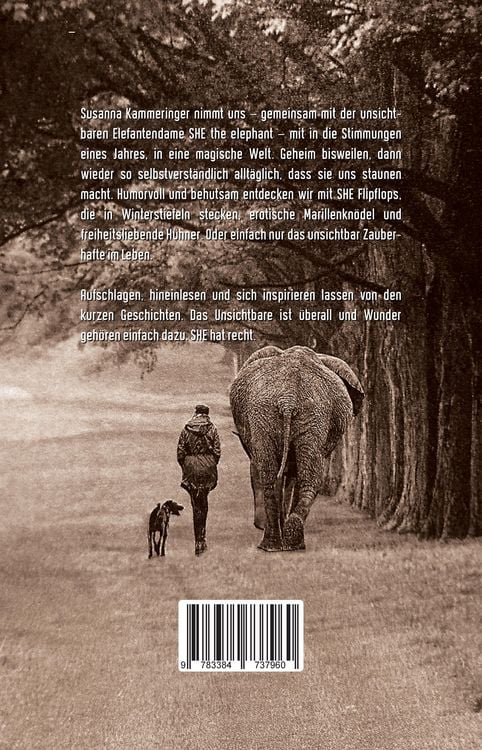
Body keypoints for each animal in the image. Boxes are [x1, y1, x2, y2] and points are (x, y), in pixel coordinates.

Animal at [229, 345, 364, 552]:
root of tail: (288, 398)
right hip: (302, 414)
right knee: (303, 476)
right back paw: (287, 542)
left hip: (281, 414)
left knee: (277, 476)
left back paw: (280, 542)